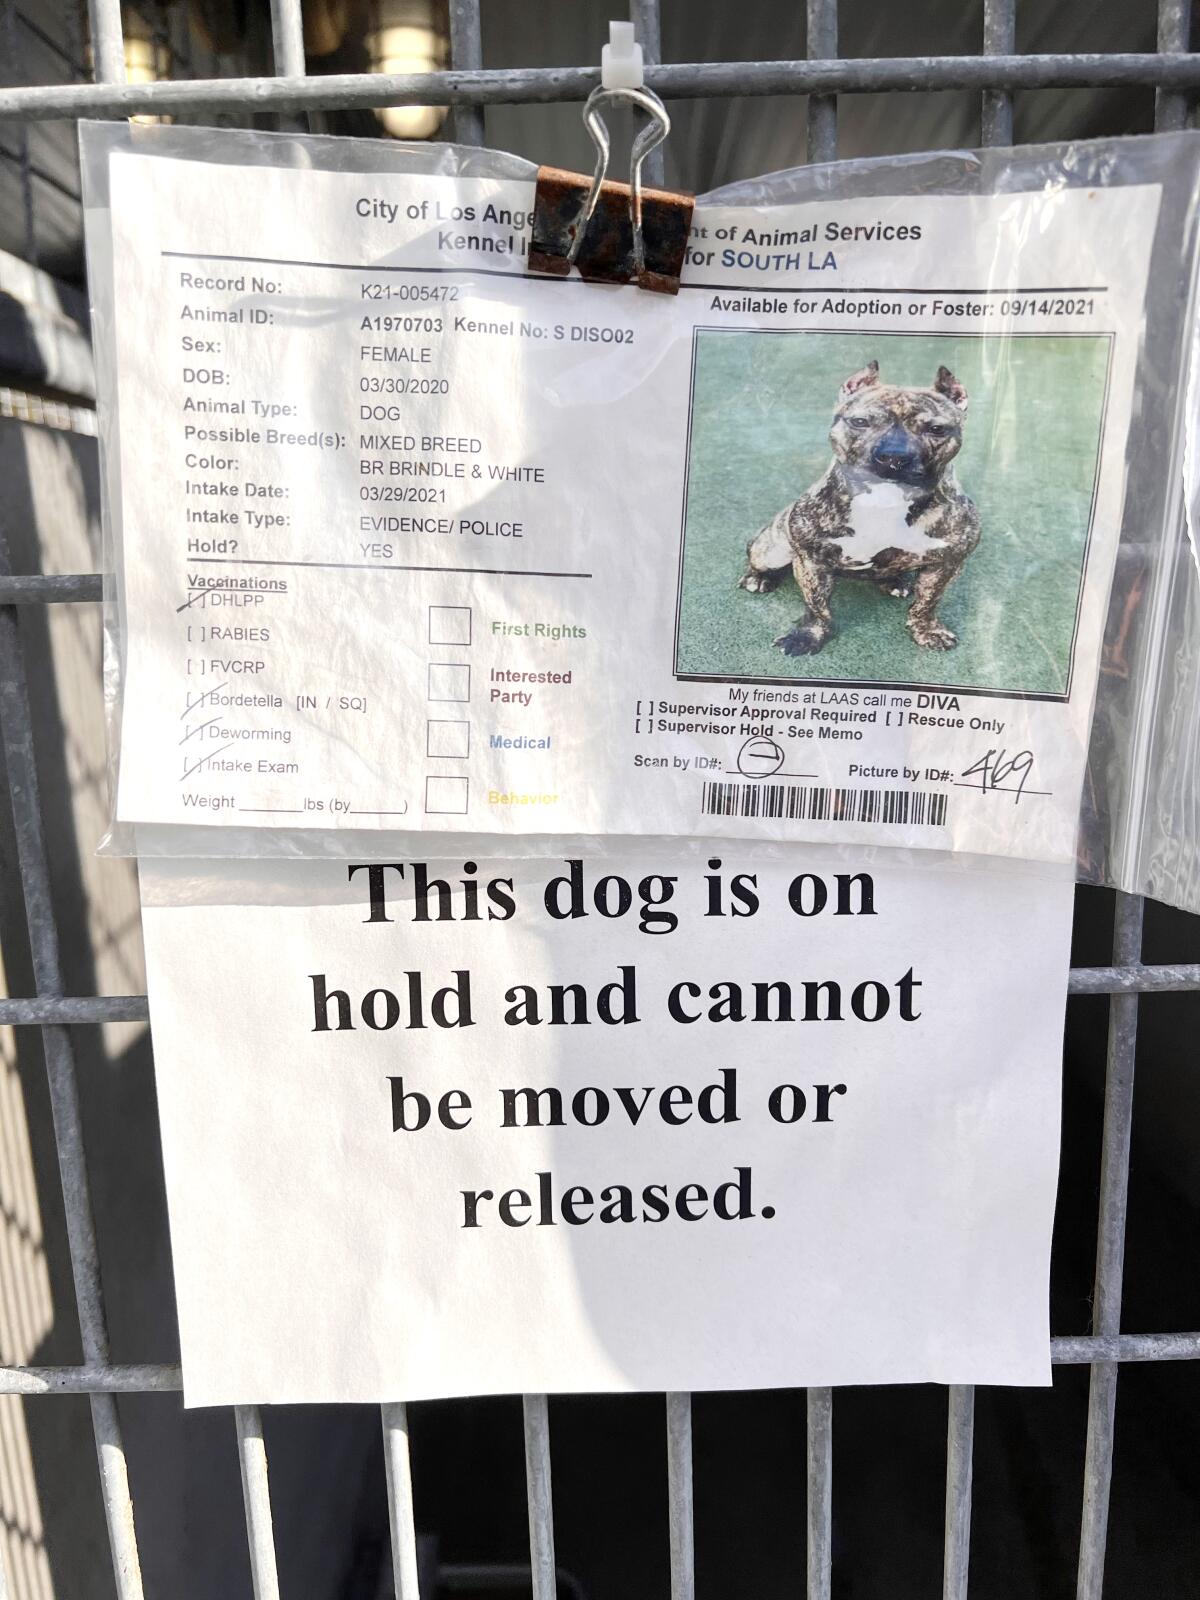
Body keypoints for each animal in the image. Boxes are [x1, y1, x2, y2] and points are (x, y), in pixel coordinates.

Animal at [742, 363, 985, 656]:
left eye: (937, 429)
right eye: (860, 422)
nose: (894, 456)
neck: (885, 500)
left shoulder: (948, 563)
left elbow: (928, 601)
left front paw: (927, 629)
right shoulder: (810, 560)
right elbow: (816, 605)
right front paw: (807, 635)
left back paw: (895, 582)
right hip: (772, 549)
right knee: (756, 555)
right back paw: (756, 577)